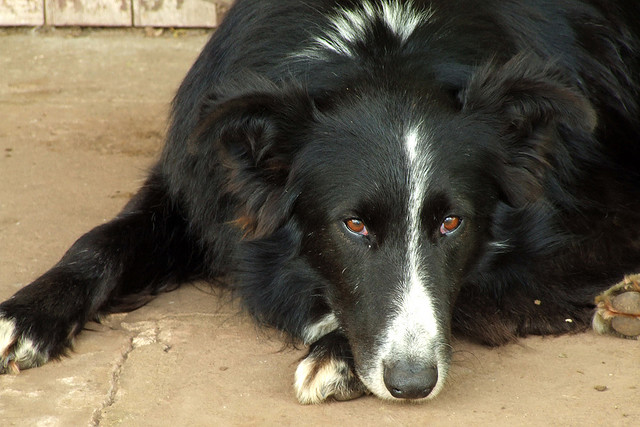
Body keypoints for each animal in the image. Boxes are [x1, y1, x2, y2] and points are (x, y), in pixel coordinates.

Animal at [1, 0, 640, 404]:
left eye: (453, 223)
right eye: (353, 225)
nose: (412, 384)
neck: (380, 48)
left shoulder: (594, 219)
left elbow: (490, 281)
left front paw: (334, 358)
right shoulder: (203, 178)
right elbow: (105, 238)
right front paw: (22, 318)